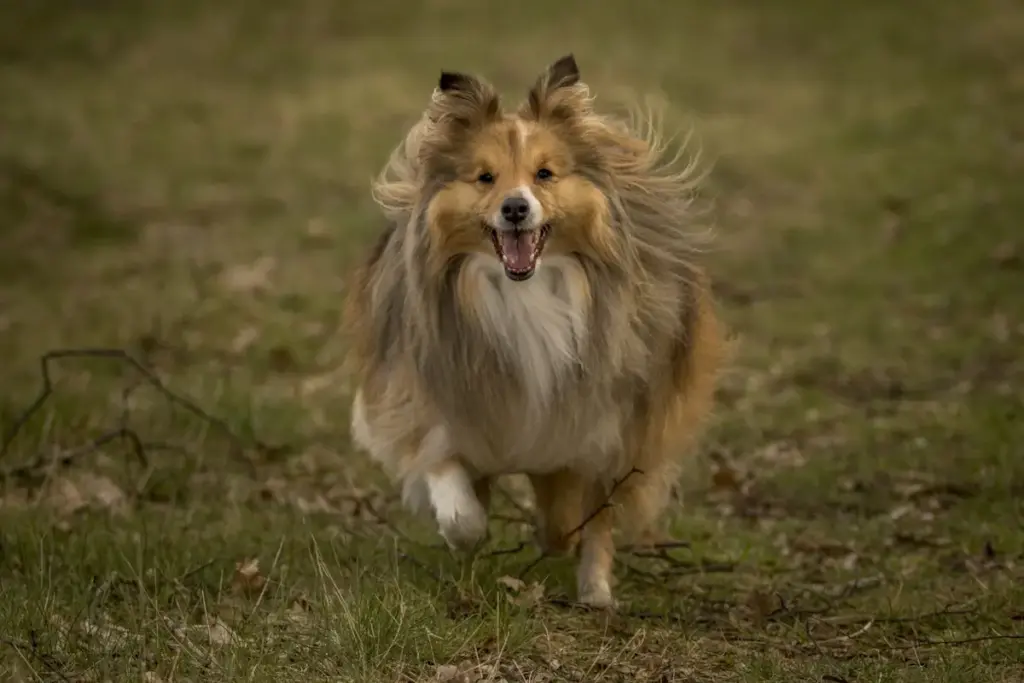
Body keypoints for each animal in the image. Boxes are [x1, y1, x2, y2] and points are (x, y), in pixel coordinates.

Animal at [348, 54, 724, 610]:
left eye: (544, 174)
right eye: (485, 177)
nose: (516, 208)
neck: (524, 292)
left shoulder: (595, 422)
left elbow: (577, 514)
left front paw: (575, 559)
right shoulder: (433, 396)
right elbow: (448, 479)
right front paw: (466, 529)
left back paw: (593, 589)